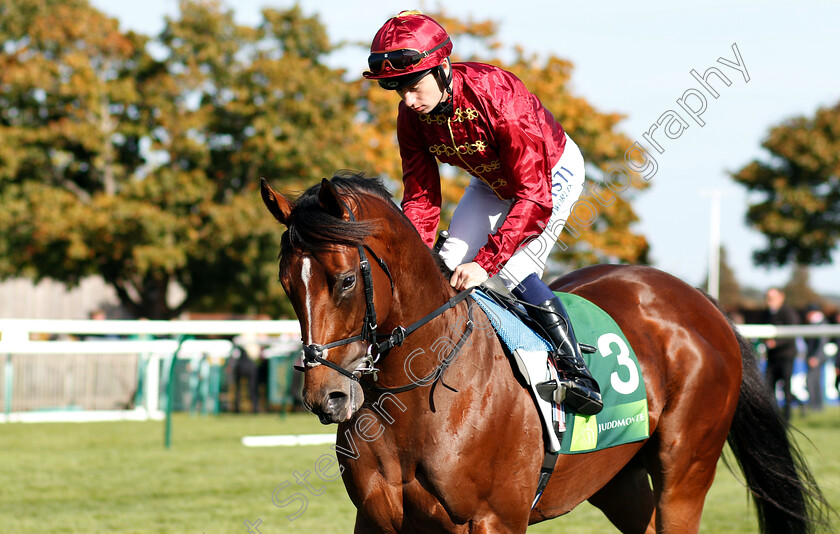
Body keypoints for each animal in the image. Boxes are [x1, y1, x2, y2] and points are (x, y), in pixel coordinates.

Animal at [260, 174, 828, 532]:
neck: (417, 395)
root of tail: (702, 303)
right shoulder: (376, 519)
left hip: (686, 469)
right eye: (287, 283)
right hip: (616, 476)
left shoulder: (493, 520)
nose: (326, 397)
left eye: (345, 280)